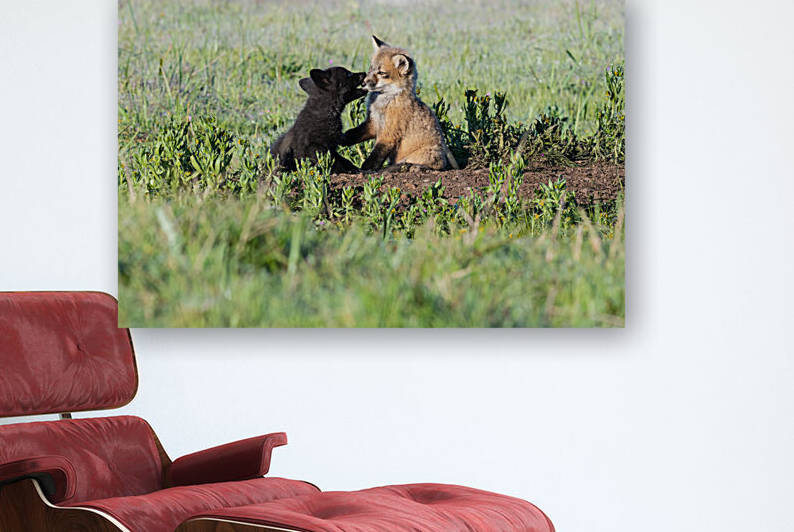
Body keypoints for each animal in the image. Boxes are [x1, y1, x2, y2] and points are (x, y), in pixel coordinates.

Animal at [340, 35, 458, 171]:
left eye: (381, 73)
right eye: (371, 68)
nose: (363, 83)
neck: (384, 103)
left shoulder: (389, 135)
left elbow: (373, 159)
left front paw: (364, 170)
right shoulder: (373, 124)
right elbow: (353, 134)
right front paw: (342, 138)